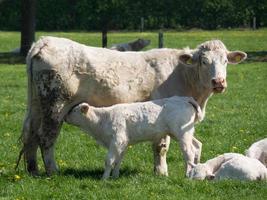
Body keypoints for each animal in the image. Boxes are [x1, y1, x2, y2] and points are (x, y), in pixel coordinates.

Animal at [66, 96, 204, 179]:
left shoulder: (117, 141)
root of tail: (184, 99)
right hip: (183, 133)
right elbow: (118, 160)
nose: (65, 116)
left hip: (182, 134)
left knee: (189, 152)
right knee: (197, 145)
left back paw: (187, 174)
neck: (102, 120)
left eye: (74, 110)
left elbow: (109, 160)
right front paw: (115, 176)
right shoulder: (123, 143)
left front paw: (104, 178)